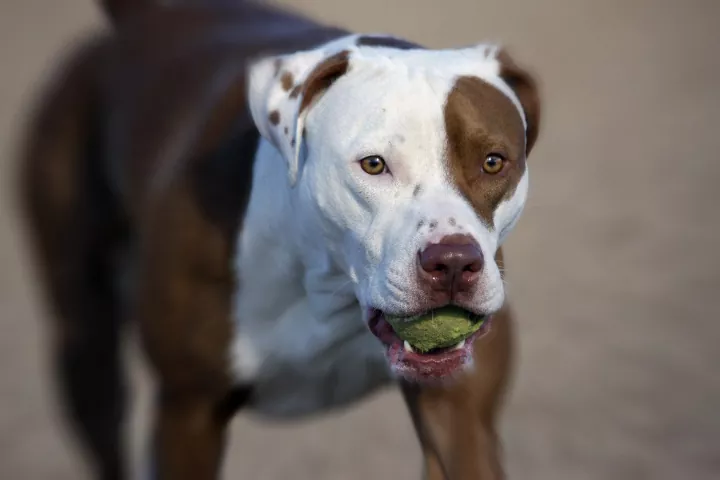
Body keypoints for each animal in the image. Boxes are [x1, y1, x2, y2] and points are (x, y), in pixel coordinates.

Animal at [16, 0, 540, 480]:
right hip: (88, 345)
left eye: (494, 162)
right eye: (373, 165)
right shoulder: (189, 413)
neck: (326, 284)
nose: (452, 262)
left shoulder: (459, 411)